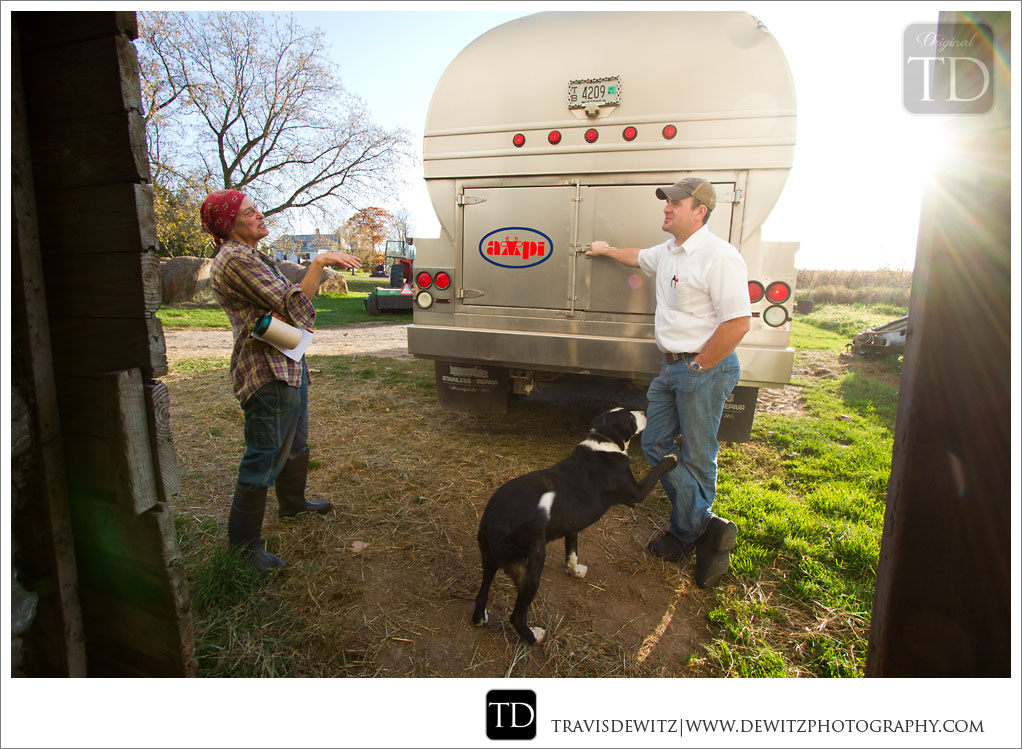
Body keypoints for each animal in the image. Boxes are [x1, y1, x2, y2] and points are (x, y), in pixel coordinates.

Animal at [472, 406, 678, 645]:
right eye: (630, 416)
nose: (644, 411)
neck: (603, 439)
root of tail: (495, 520)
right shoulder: (636, 493)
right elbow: (657, 471)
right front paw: (672, 458)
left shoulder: (572, 526)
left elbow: (572, 553)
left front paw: (575, 571)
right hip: (531, 567)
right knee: (516, 617)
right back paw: (535, 636)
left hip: (490, 559)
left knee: (481, 593)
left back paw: (480, 618)